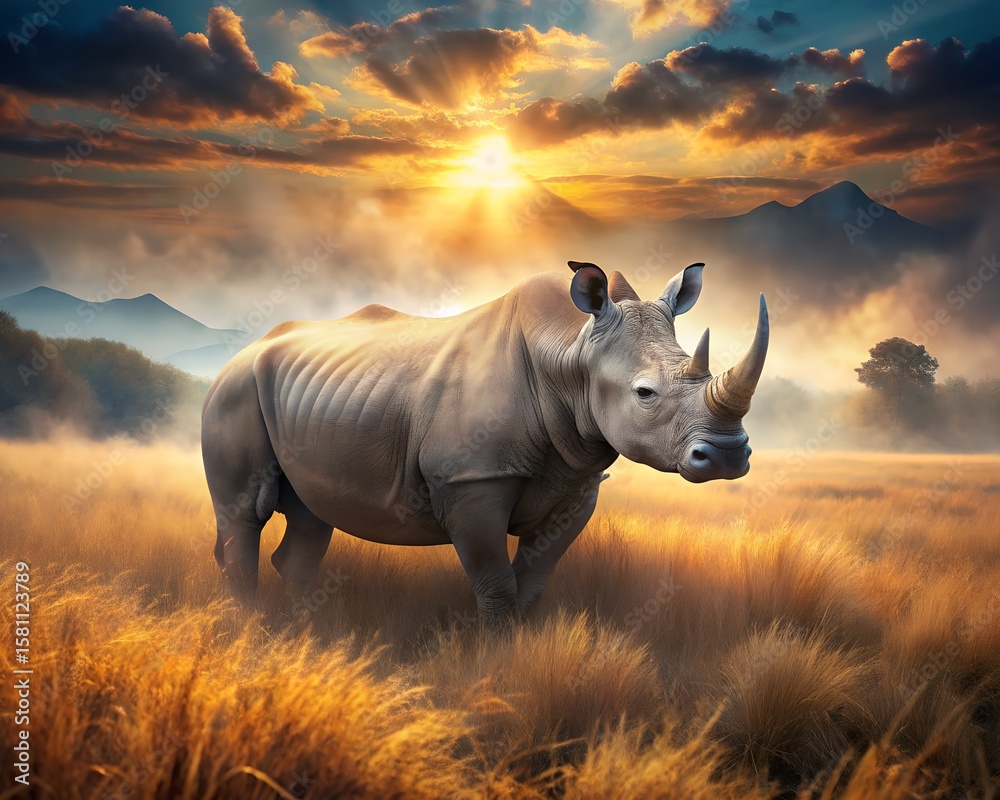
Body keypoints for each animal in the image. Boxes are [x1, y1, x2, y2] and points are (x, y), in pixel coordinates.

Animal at [201, 262, 768, 624]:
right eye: (645, 393)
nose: (727, 455)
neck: (569, 353)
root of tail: (239, 355)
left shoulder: (578, 480)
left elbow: (532, 583)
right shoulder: (471, 479)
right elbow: (496, 585)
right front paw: (496, 662)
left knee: (311, 517)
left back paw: (305, 631)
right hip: (233, 392)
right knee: (244, 515)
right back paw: (252, 628)